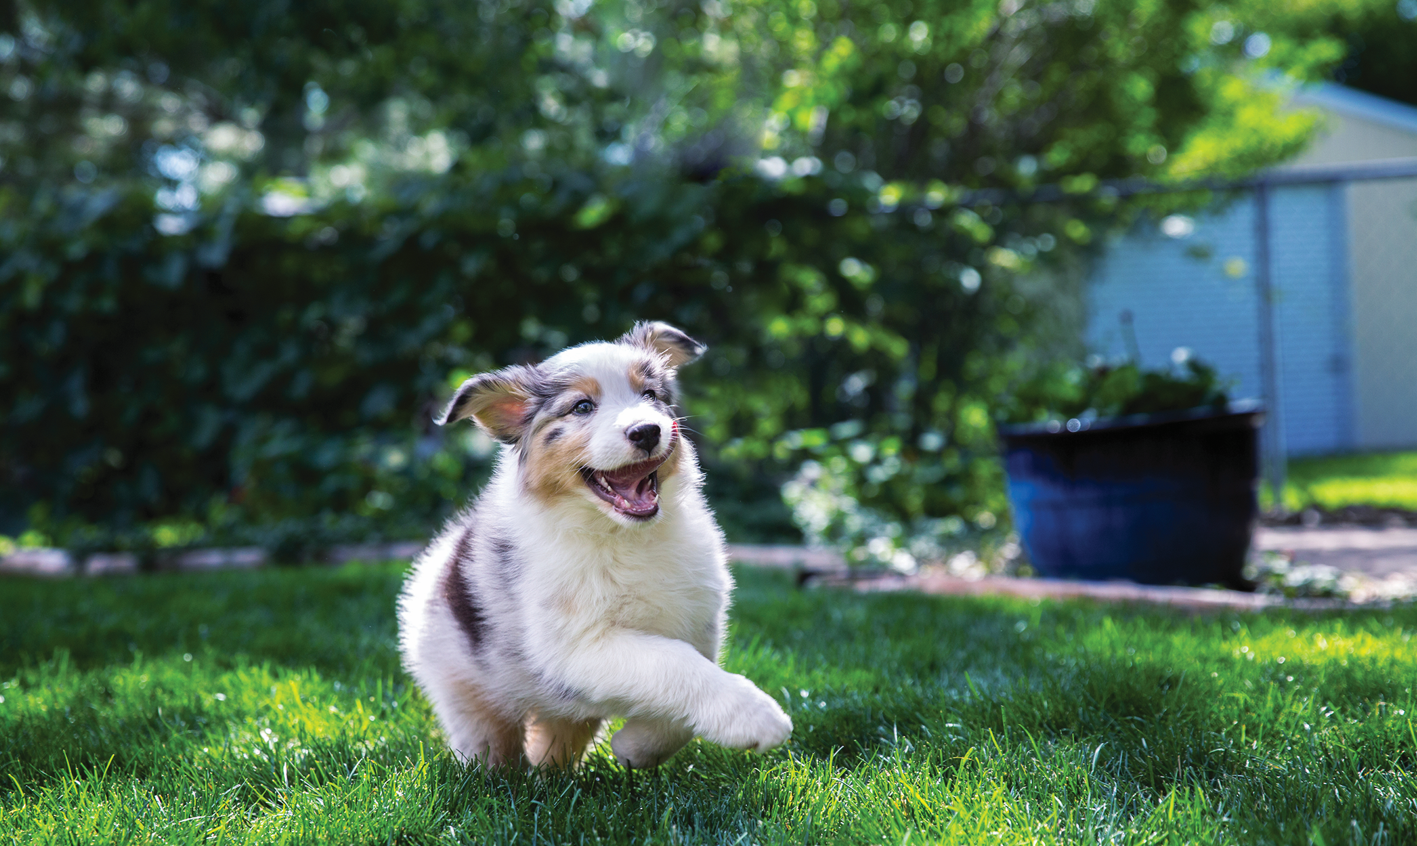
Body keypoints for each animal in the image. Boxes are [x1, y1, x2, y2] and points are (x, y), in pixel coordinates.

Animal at [399, 320, 793, 770]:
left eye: (650, 395)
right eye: (583, 407)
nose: (647, 430)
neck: (624, 535)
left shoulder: (695, 623)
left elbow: (678, 698)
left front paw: (634, 749)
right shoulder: (577, 647)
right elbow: (674, 664)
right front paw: (757, 717)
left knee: (557, 741)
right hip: (462, 683)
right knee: (488, 738)